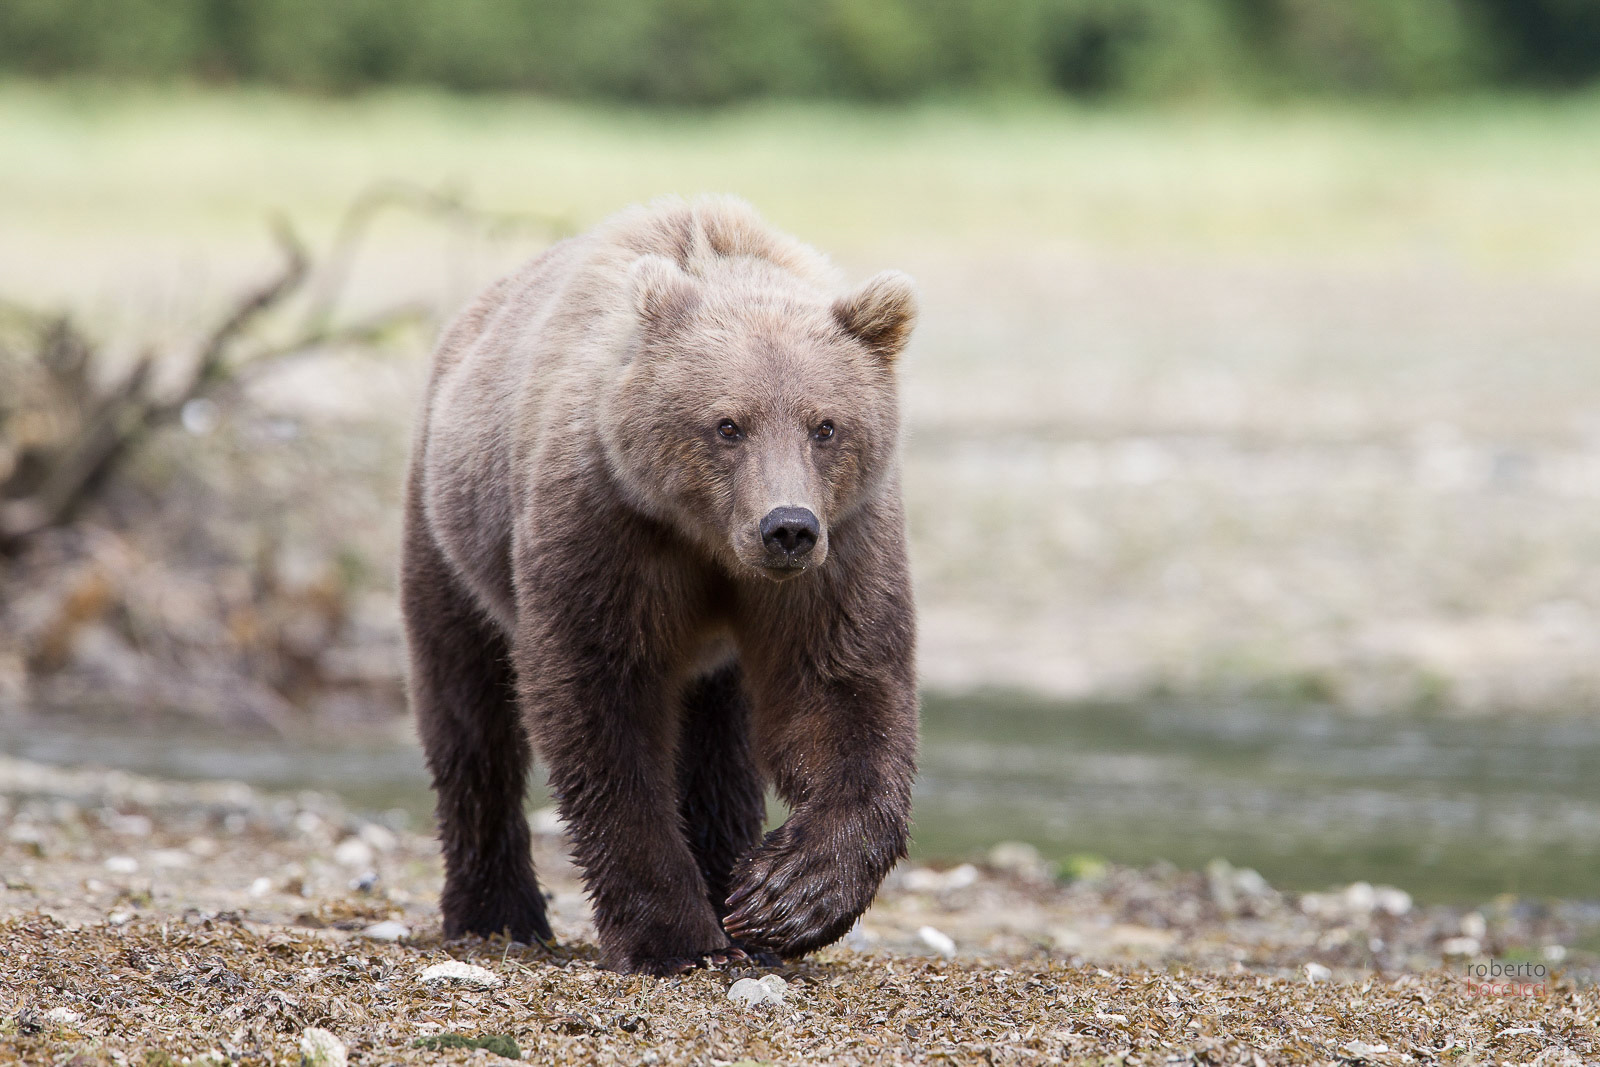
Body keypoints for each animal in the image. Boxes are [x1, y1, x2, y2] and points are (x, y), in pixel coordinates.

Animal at [400, 195, 919, 975]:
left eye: (825, 425)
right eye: (727, 424)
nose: (787, 527)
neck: (709, 542)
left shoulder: (841, 548)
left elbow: (841, 689)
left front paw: (785, 896)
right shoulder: (606, 526)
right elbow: (600, 705)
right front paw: (672, 934)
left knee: (719, 749)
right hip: (449, 533)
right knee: (468, 714)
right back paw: (496, 912)